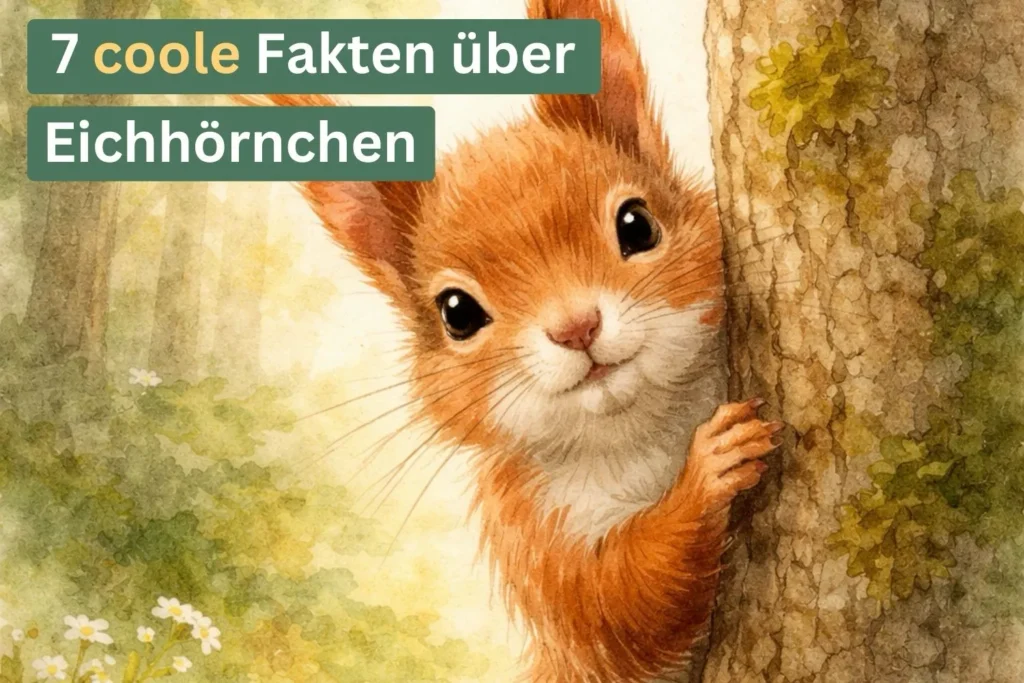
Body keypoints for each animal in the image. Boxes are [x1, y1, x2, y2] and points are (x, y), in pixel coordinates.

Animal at [246, 0, 782, 679]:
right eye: (456, 313)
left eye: (637, 224)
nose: (576, 327)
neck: (637, 431)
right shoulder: (532, 532)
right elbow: (616, 604)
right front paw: (710, 467)